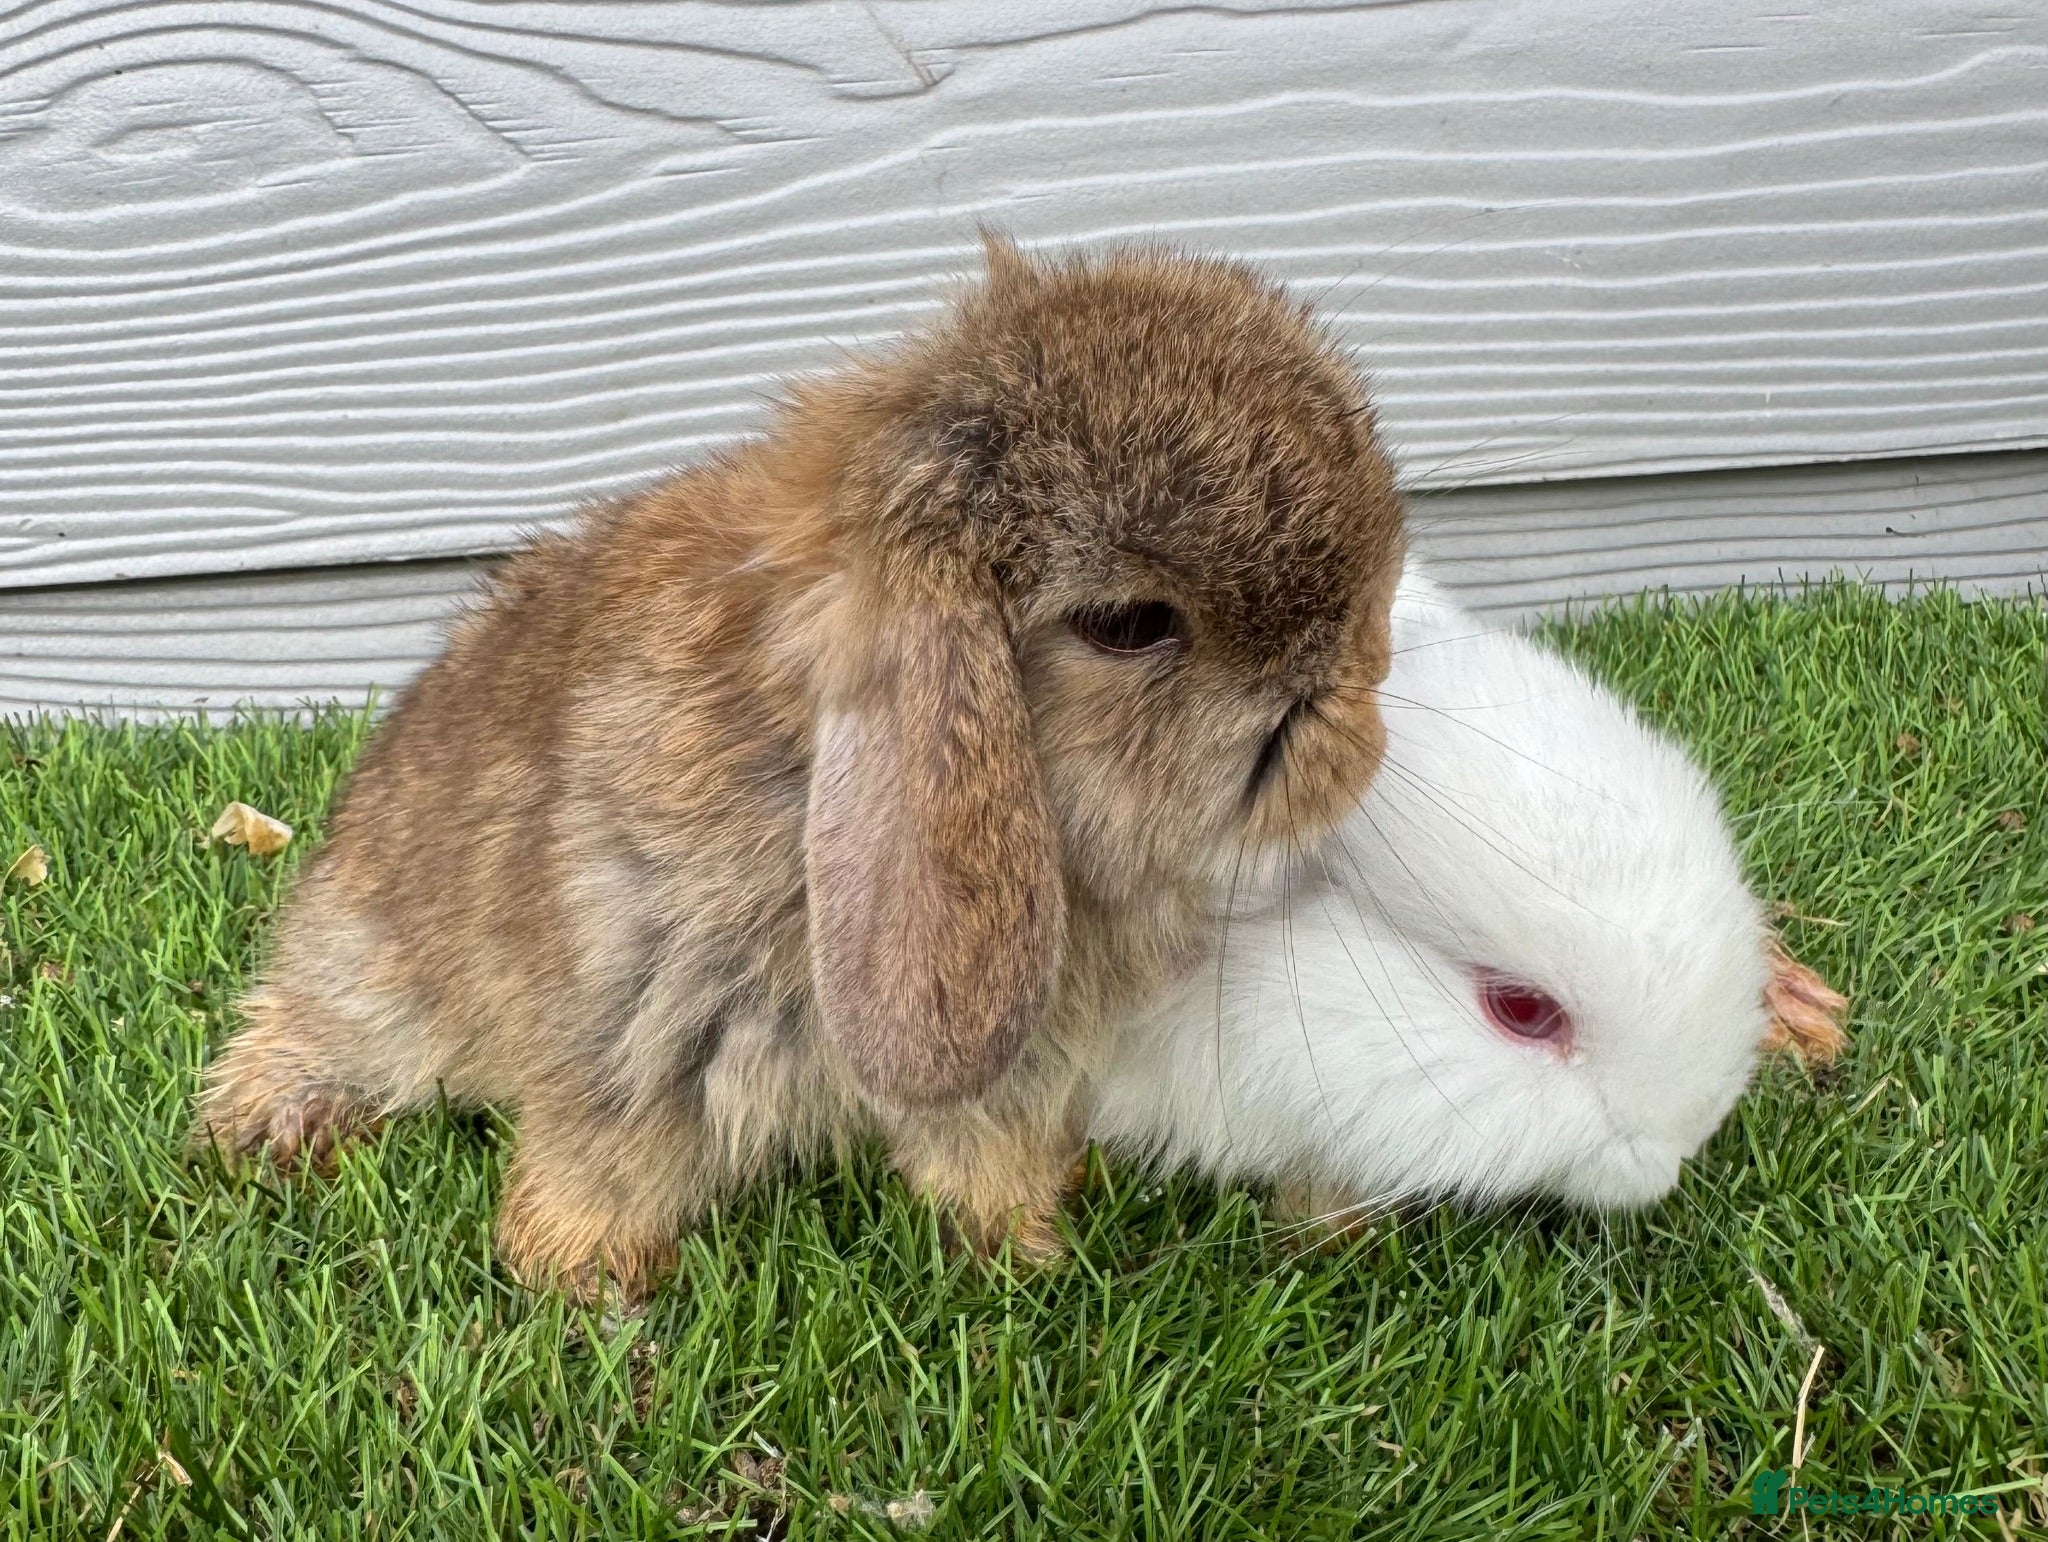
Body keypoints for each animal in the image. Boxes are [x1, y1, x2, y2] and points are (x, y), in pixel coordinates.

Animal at [194, 235, 1410, 1298]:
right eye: (1127, 625)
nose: (1358, 731)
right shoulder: (637, 1030)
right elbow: (604, 1162)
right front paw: (583, 1278)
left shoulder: (1001, 1071)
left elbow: (979, 1159)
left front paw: (1027, 1251)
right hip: (373, 970)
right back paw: (273, 1129)